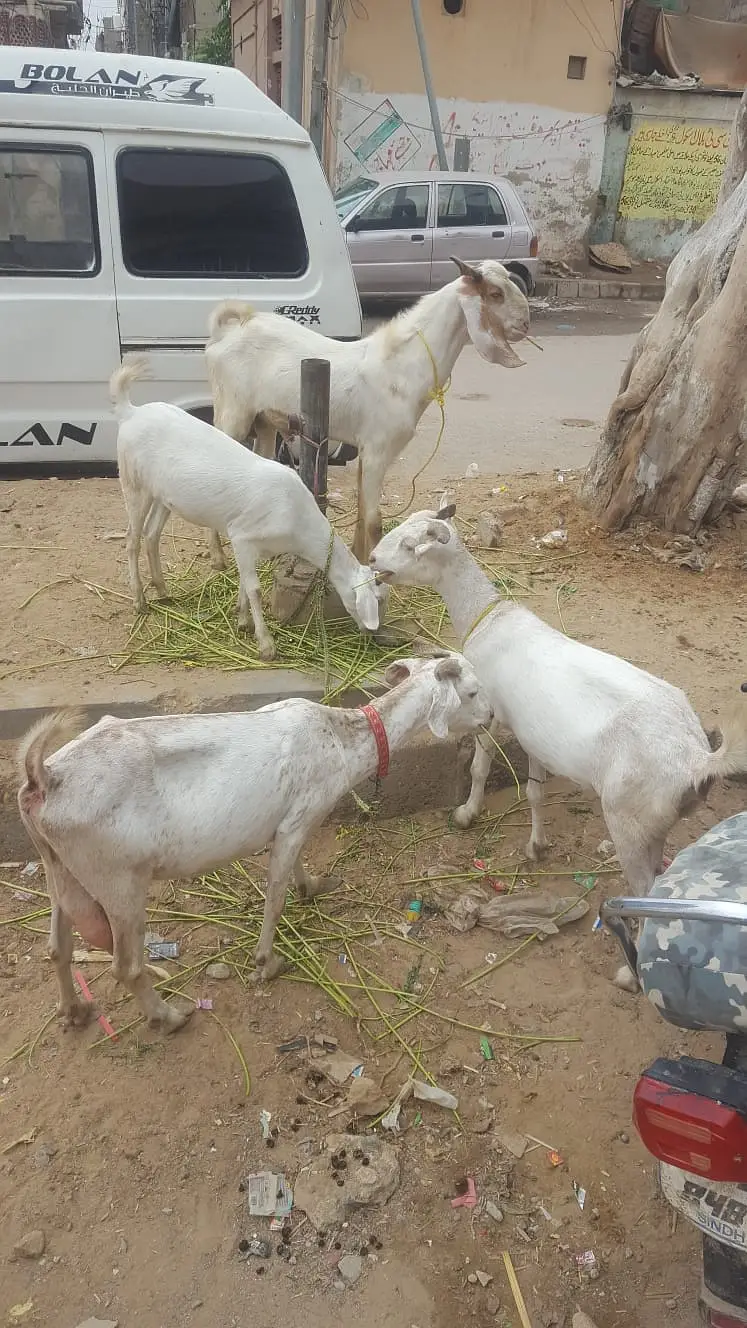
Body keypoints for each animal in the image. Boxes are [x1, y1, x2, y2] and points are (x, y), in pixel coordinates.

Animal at [17, 655, 493, 1033]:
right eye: (472, 691)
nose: (490, 716)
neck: (342, 740)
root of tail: (44, 779)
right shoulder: (298, 818)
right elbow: (275, 897)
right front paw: (268, 962)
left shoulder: (291, 824)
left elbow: (295, 868)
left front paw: (312, 885)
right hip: (119, 879)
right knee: (127, 966)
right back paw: (168, 1017)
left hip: (59, 868)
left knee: (57, 947)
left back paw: (74, 1011)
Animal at [111, 358, 379, 658]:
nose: (371, 633)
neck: (297, 519)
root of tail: (130, 412)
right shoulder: (242, 535)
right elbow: (255, 590)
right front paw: (266, 644)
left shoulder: (254, 548)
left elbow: (243, 583)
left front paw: (242, 620)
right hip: (134, 484)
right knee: (131, 539)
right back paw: (140, 601)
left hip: (163, 496)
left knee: (152, 534)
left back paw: (162, 590)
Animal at [205, 258, 530, 562]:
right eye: (495, 293)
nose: (525, 324)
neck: (401, 366)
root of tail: (232, 329)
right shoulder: (378, 449)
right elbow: (374, 521)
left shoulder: (366, 450)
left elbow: (363, 514)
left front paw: (359, 557)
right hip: (231, 413)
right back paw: (218, 558)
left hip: (264, 421)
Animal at [369, 506, 747, 990]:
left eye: (409, 544)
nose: (372, 559)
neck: (489, 619)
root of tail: (698, 759)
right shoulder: (535, 735)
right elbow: (534, 791)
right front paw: (537, 846)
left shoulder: (492, 714)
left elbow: (478, 767)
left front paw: (467, 814)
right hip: (653, 824)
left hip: (627, 819)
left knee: (645, 891)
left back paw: (630, 974)